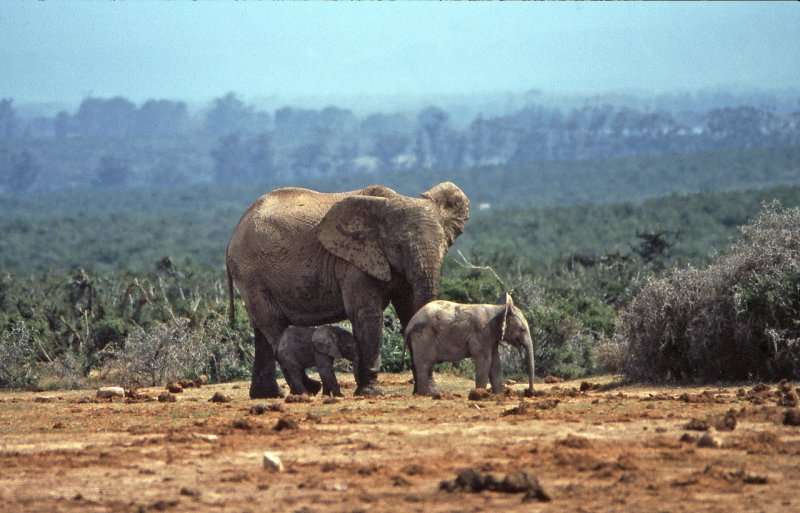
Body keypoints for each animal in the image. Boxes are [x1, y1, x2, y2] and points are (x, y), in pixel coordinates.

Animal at [406, 292, 536, 396]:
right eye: (523, 329)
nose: (529, 392)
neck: (500, 309)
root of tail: (409, 326)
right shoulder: (483, 333)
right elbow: (485, 360)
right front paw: (480, 394)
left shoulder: (491, 337)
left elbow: (495, 363)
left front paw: (499, 394)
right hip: (423, 336)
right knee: (424, 364)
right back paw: (427, 394)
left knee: (416, 364)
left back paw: (419, 393)